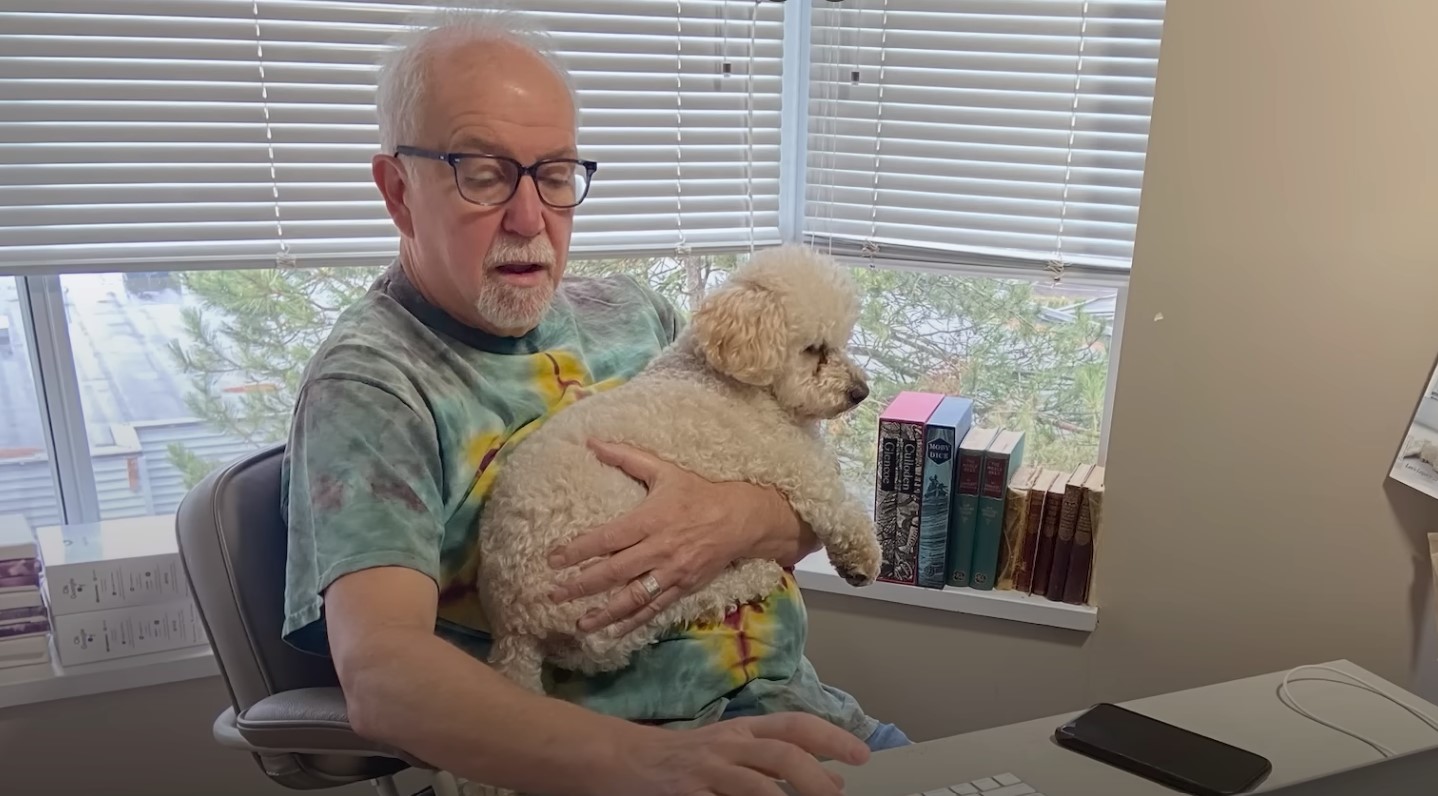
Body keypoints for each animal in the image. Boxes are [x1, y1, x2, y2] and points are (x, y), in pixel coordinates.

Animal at [477, 244, 880, 689]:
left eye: (840, 342)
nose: (860, 392)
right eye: (813, 349)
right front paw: (862, 558)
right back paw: (753, 573)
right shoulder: (786, 457)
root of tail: (516, 629)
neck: (719, 372)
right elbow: (833, 497)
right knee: (684, 602)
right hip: (623, 583)